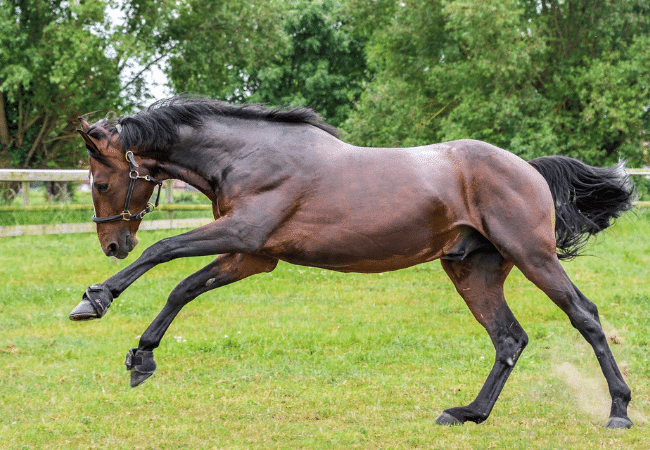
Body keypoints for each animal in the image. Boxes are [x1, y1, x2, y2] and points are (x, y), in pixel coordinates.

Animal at [71, 96, 632, 428]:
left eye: (101, 182)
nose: (112, 245)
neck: (246, 157)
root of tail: (527, 169)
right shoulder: (253, 255)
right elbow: (183, 287)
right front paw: (142, 357)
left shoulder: (243, 234)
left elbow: (162, 250)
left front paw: (95, 300)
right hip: (473, 270)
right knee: (508, 338)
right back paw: (469, 413)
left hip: (532, 255)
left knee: (584, 316)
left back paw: (619, 411)